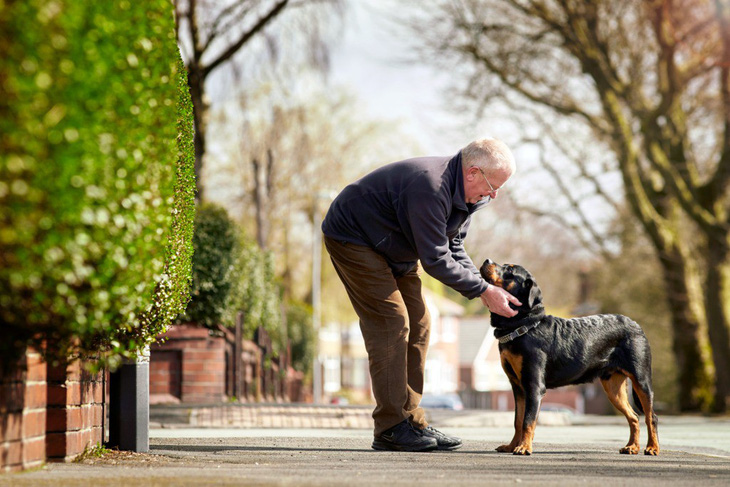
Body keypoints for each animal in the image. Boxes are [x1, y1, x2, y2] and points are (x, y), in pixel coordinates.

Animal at [478, 262, 660, 456]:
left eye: (510, 271)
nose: (486, 261)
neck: (525, 326)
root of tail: (636, 324)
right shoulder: (518, 387)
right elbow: (517, 421)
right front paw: (512, 446)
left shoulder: (534, 386)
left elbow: (528, 420)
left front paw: (524, 447)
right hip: (613, 386)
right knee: (634, 416)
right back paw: (631, 447)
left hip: (641, 379)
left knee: (651, 417)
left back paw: (652, 448)